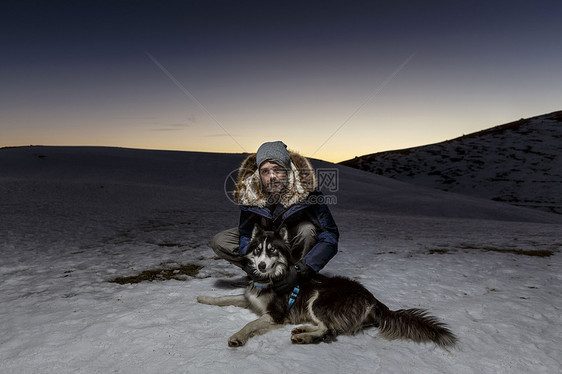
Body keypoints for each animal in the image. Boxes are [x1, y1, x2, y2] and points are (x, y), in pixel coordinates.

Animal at [197, 224, 456, 350]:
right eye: (258, 250)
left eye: (272, 251)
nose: (260, 265)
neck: (269, 278)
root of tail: (373, 299)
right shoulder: (251, 299)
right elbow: (225, 298)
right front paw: (204, 298)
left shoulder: (277, 314)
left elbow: (250, 324)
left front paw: (237, 338)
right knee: (327, 327)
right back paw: (303, 330)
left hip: (319, 299)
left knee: (330, 330)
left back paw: (304, 337)